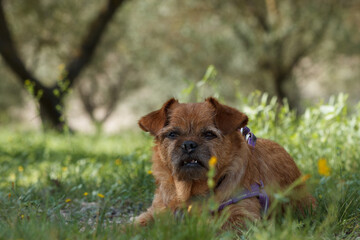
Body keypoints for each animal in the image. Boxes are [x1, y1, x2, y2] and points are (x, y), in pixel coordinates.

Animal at [134, 97, 314, 227]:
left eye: (209, 134)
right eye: (172, 134)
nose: (188, 144)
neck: (190, 193)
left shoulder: (242, 217)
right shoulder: (155, 211)